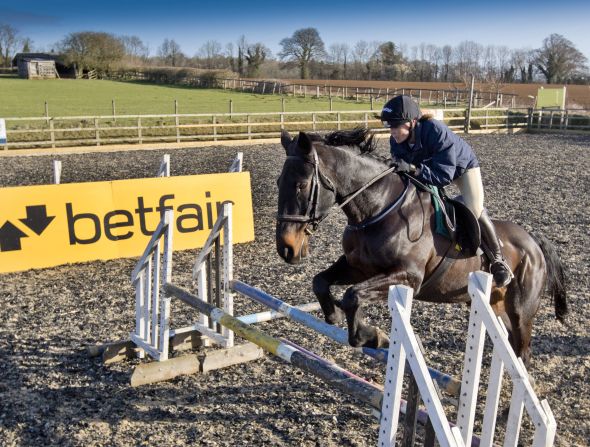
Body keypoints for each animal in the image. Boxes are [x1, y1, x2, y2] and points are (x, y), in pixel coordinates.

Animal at [278, 128, 568, 366]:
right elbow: (321, 282)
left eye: (301, 185)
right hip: (494, 304)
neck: (377, 207)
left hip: (521, 309)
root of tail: (534, 242)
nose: (286, 248)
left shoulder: (409, 277)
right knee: (510, 344)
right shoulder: (356, 268)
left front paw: (374, 336)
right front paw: (335, 315)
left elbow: (353, 295)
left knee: (523, 350)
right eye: (279, 183)